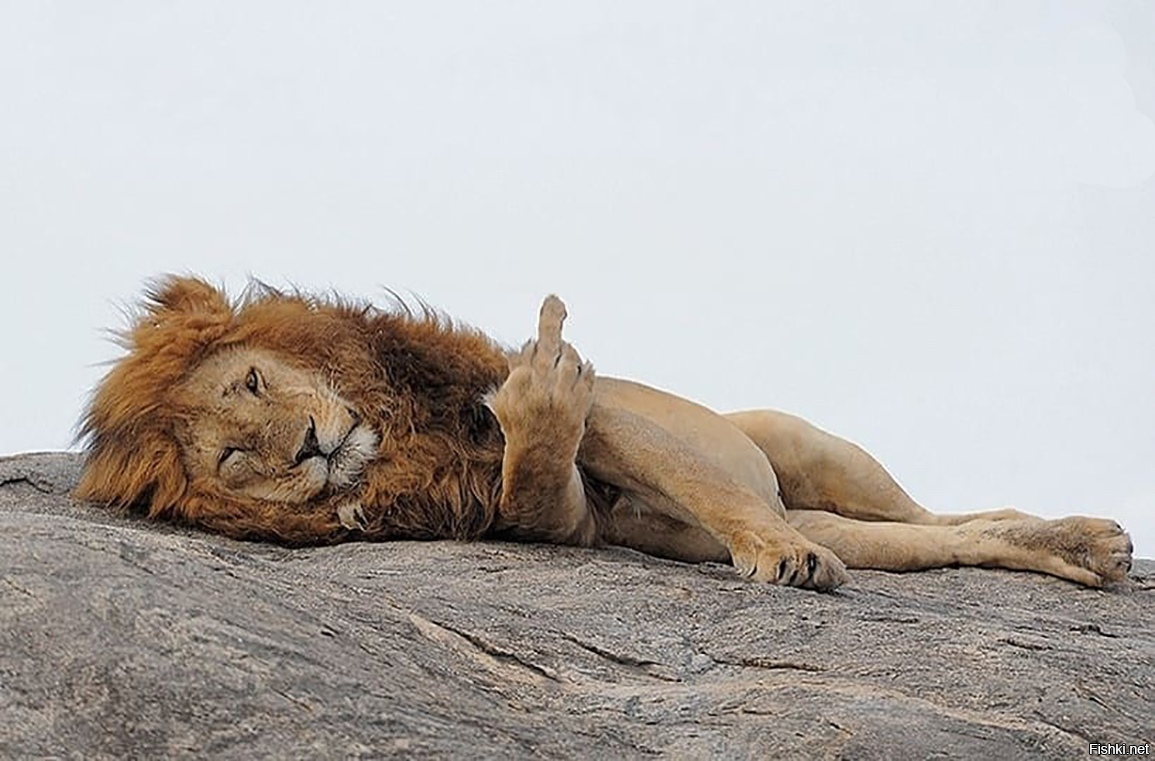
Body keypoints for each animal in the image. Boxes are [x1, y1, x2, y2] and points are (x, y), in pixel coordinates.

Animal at [74, 277, 1136, 591]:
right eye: (231, 457)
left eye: (254, 381)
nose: (305, 446)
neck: (399, 429)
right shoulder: (556, 513)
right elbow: (537, 484)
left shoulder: (606, 412)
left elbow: (675, 467)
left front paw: (777, 558)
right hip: (852, 524)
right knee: (951, 537)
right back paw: (1079, 551)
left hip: (811, 453)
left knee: (936, 509)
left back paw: (1090, 536)